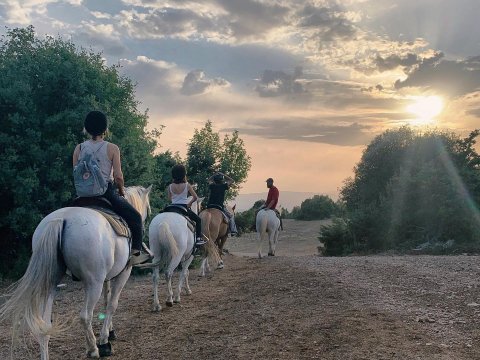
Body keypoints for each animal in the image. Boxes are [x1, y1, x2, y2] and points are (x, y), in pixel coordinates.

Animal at [0, 187, 152, 358]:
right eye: (148, 209)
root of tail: (61, 220)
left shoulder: (105, 278)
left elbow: (106, 301)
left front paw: (110, 332)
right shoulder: (123, 273)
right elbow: (112, 304)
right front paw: (105, 340)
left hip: (51, 284)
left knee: (44, 325)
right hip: (94, 283)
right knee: (85, 315)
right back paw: (95, 349)